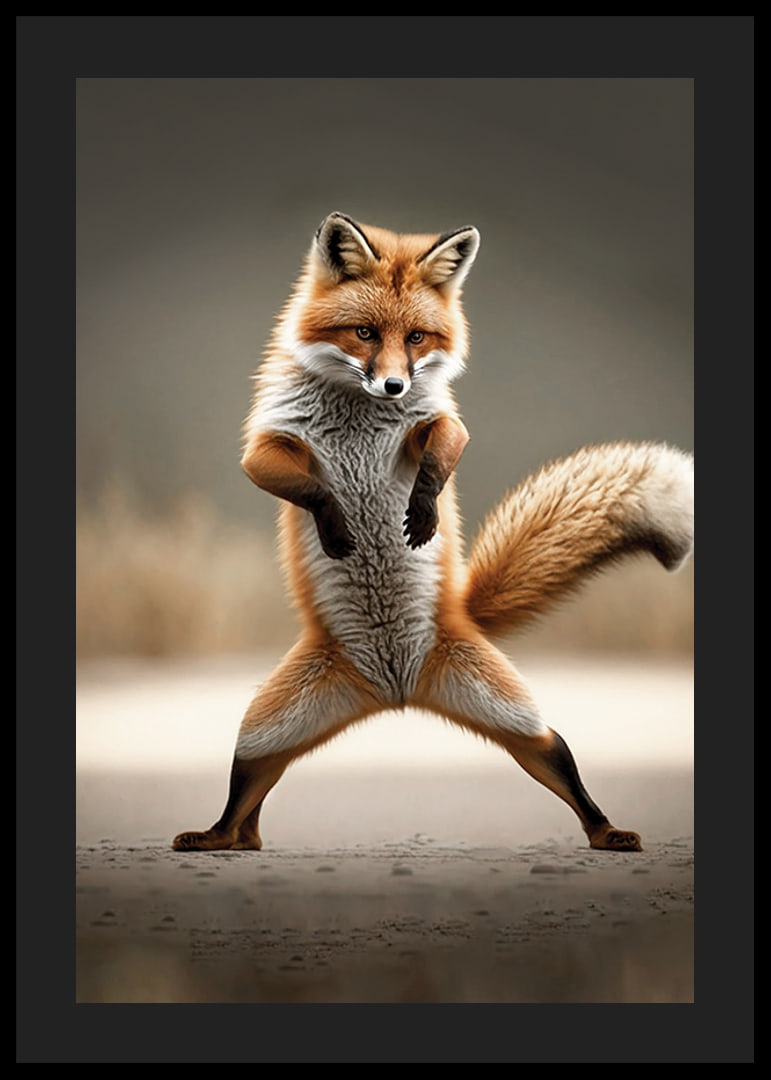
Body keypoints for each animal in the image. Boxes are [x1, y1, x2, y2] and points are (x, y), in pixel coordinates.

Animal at [172, 211, 694, 855]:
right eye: (365, 333)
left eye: (417, 338)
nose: (394, 387)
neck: (359, 417)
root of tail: (396, 693)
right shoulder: (269, 444)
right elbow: (311, 488)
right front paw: (338, 523)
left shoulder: (437, 422)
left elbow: (444, 450)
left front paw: (422, 511)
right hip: (264, 733)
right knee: (247, 800)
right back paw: (221, 837)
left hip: (515, 720)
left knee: (559, 758)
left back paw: (607, 831)